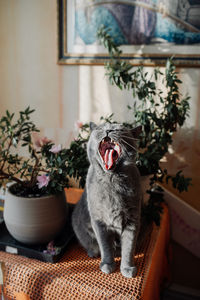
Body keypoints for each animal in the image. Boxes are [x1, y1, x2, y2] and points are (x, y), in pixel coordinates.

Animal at [72, 122, 142, 278]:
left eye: (119, 129)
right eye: (101, 127)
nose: (108, 130)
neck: (112, 179)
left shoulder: (132, 220)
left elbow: (129, 247)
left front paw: (127, 268)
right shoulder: (99, 221)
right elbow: (105, 247)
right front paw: (107, 265)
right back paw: (92, 252)